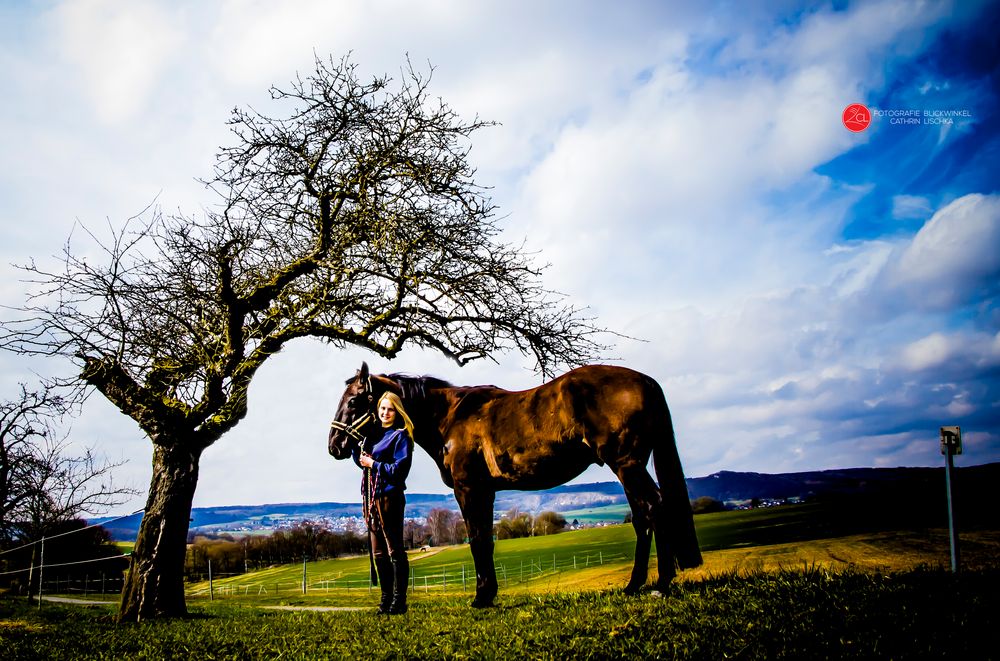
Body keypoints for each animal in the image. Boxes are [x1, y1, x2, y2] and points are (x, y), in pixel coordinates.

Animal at [330, 364, 704, 604]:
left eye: (354, 401)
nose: (334, 445)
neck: (449, 416)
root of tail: (645, 382)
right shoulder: (486, 492)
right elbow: (486, 540)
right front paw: (489, 592)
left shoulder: (469, 489)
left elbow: (477, 539)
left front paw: (481, 596)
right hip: (629, 467)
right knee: (643, 517)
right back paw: (636, 584)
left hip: (627, 465)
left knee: (654, 508)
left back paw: (660, 584)